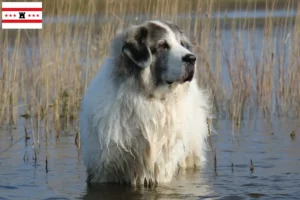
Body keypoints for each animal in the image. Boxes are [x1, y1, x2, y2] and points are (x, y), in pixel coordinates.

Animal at [79, 19, 211, 186]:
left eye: (181, 44)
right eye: (162, 45)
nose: (192, 58)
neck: (149, 97)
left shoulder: (160, 168)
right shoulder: (103, 170)